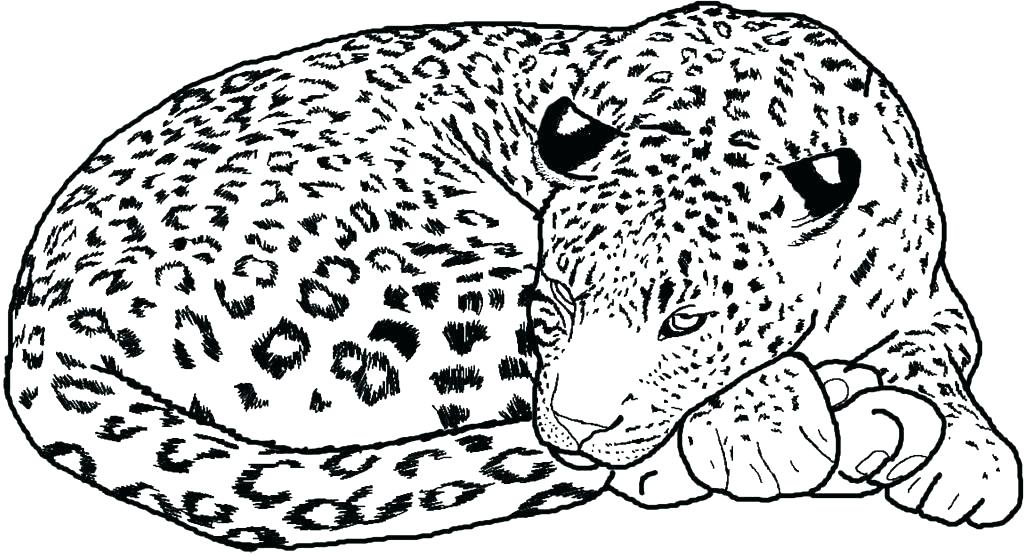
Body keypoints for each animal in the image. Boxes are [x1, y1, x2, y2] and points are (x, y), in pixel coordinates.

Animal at [5, 1, 1021, 550]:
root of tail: (42, 307)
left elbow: (941, 352)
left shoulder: (931, 295)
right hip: (422, 279)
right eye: (559, 302)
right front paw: (770, 429)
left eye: (686, 320)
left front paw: (970, 462)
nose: (579, 425)